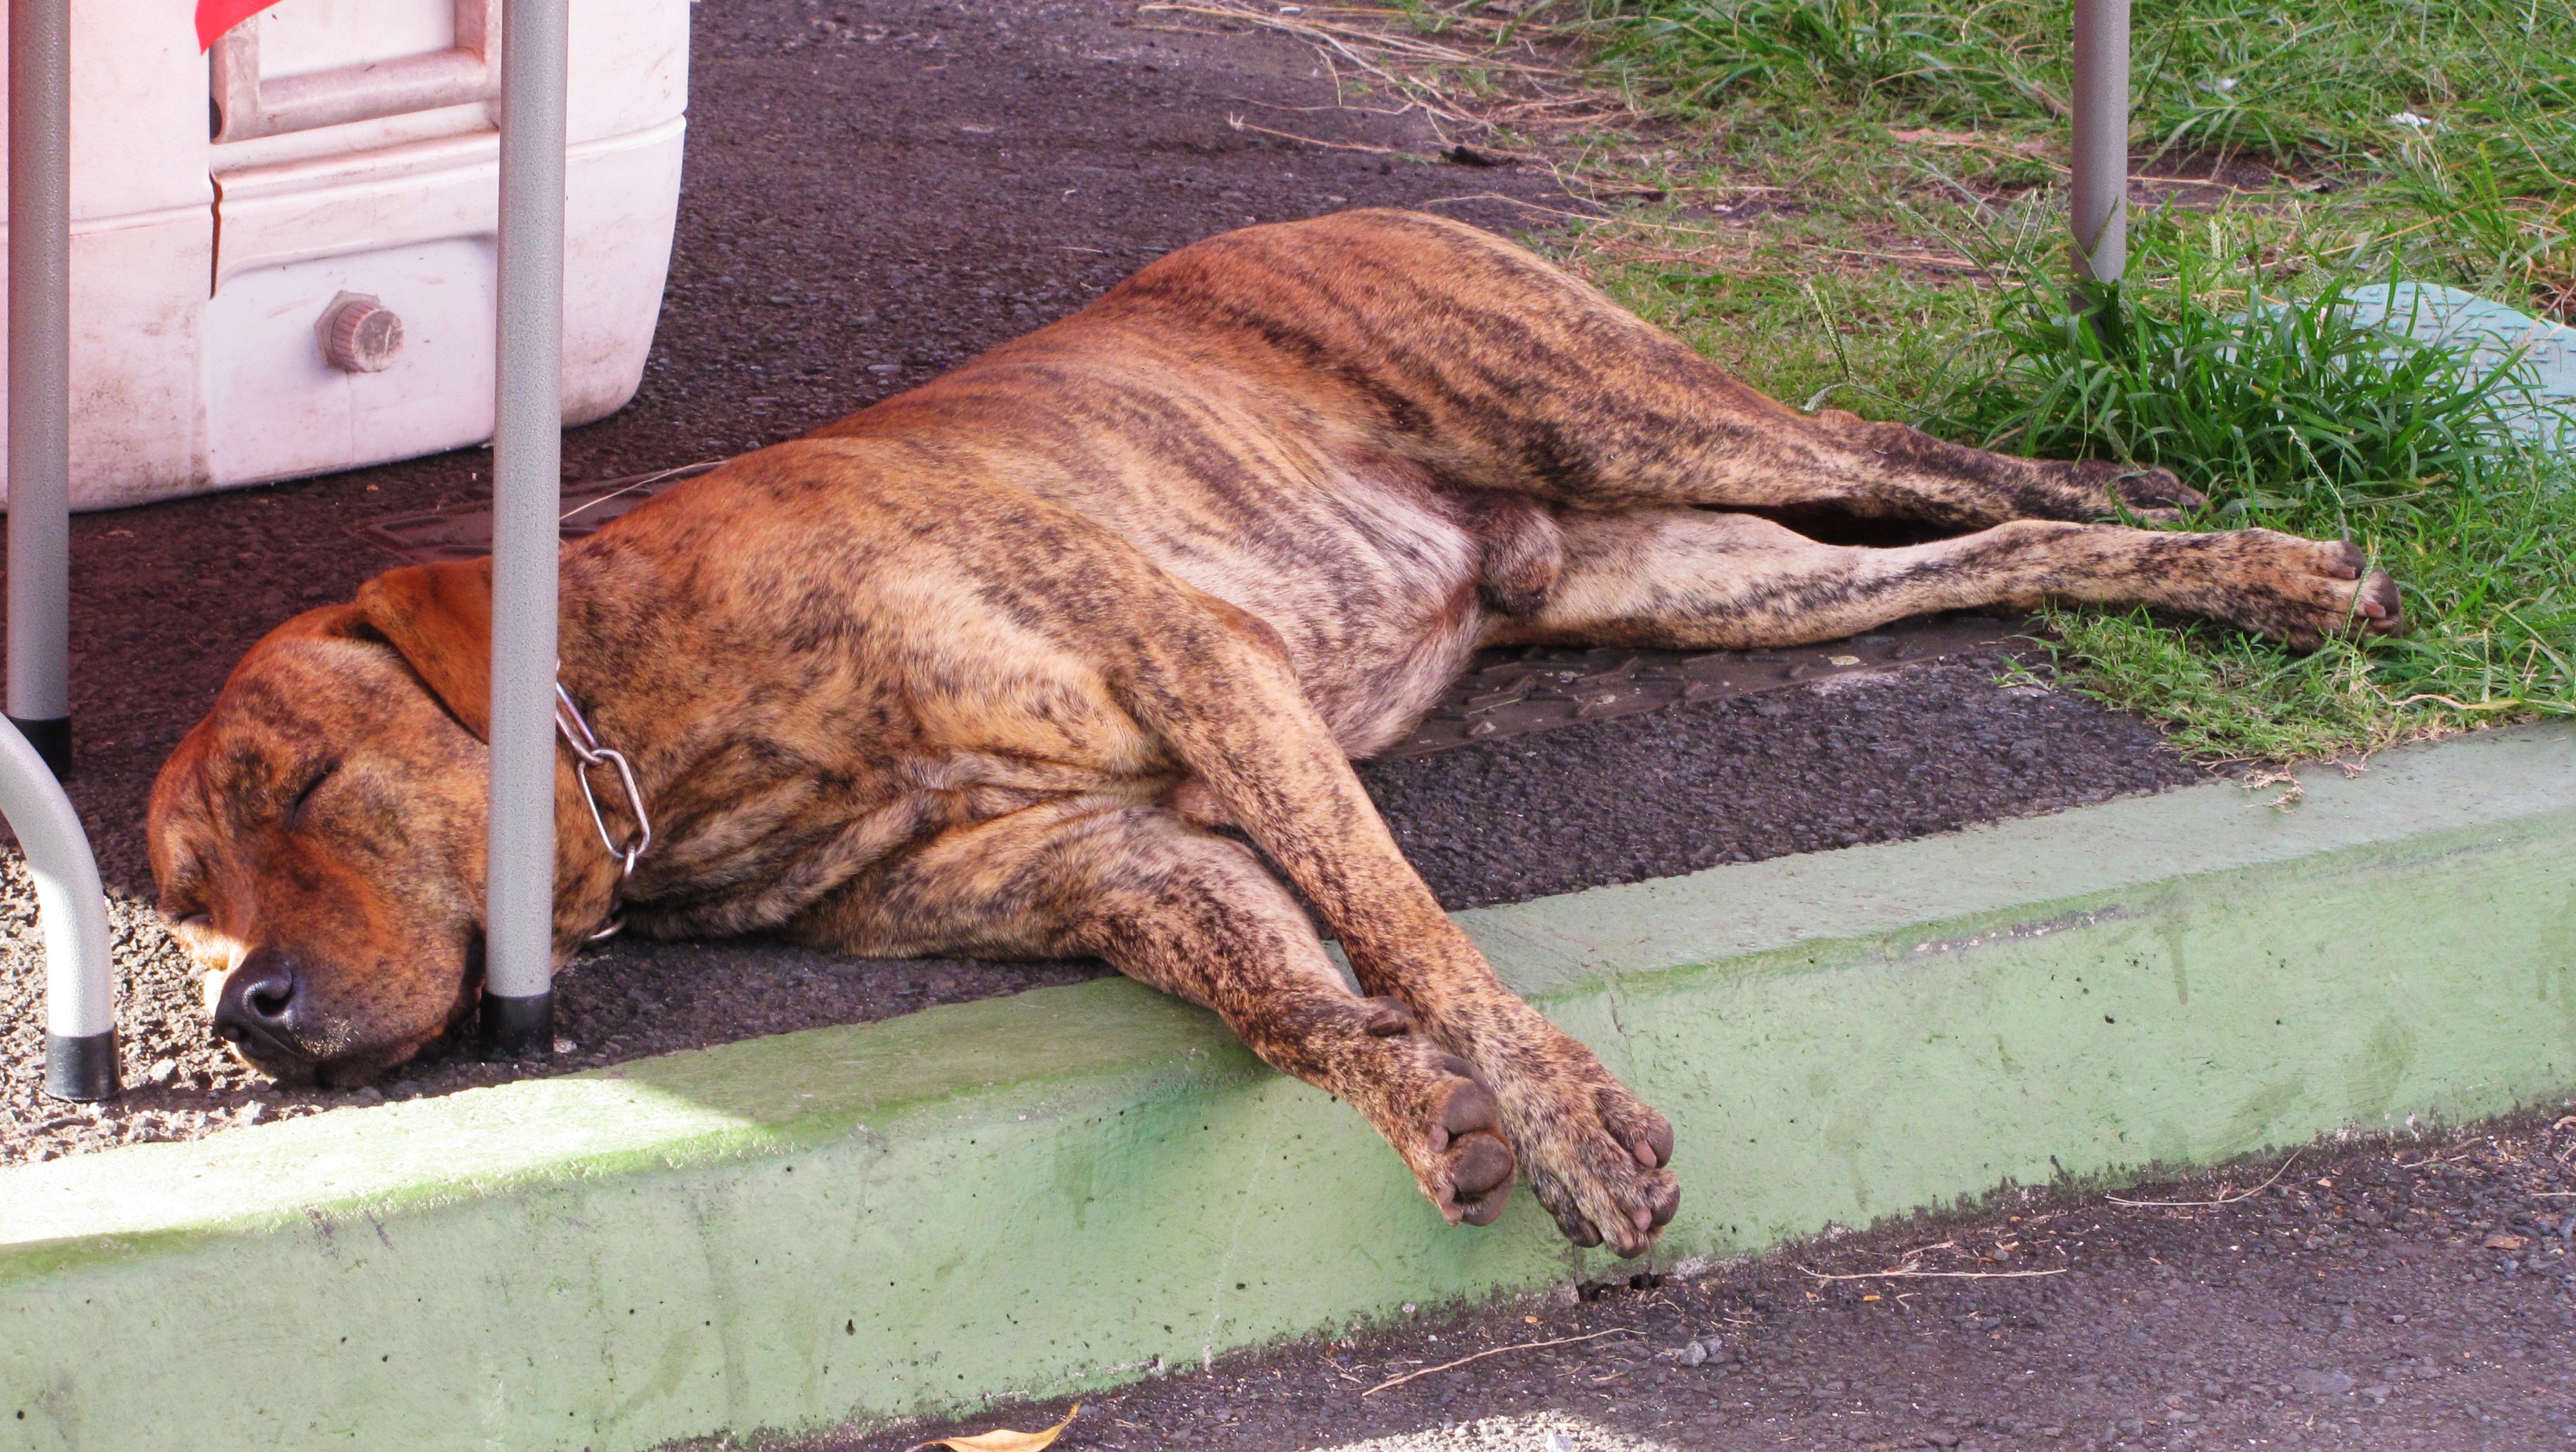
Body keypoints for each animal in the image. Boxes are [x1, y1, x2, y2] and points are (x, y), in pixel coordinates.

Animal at [141, 207, 2391, 1261]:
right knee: (1985, 550)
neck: (652, 713)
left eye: (307, 783)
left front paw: (1565, 1114)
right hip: (1693, 568)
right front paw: (1425, 1105)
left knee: (1918, 453)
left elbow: (1403, 928)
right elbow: (1290, 989)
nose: (247, 1012)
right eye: (182, 904)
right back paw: (2219, 570)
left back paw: (2236, 526)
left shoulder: (1199, 668)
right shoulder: (1127, 860)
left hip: (1621, 409)